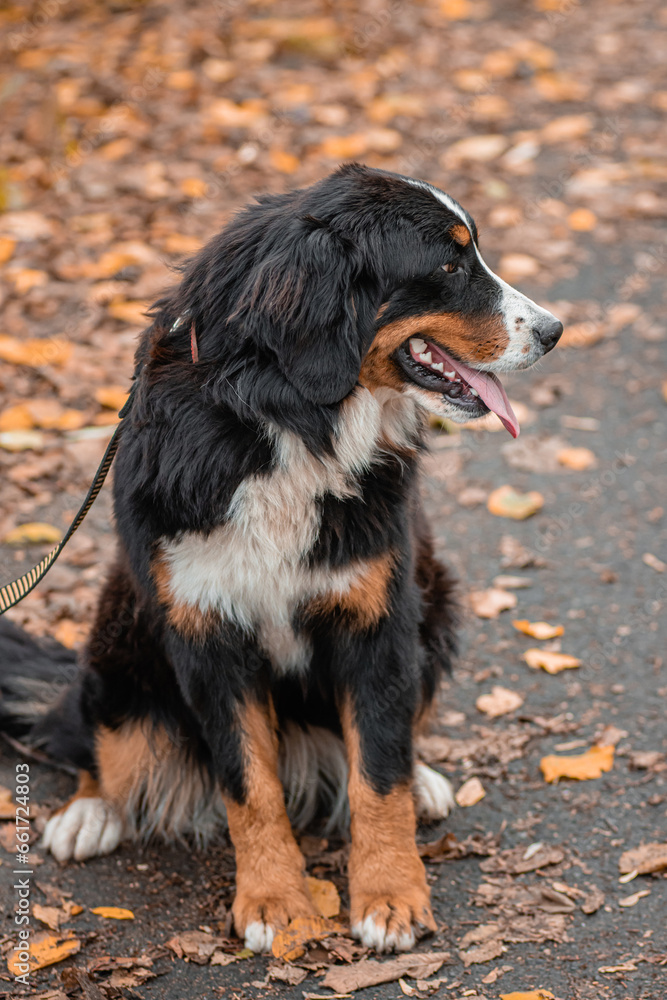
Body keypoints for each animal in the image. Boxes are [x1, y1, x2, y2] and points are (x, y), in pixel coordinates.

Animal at [0, 164, 564, 952]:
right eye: (450, 266)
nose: (554, 331)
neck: (288, 425)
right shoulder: (206, 632)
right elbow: (249, 784)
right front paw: (274, 902)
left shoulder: (379, 619)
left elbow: (378, 773)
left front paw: (390, 894)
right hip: (123, 622)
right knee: (95, 732)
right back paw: (90, 810)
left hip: (435, 597)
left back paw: (425, 778)